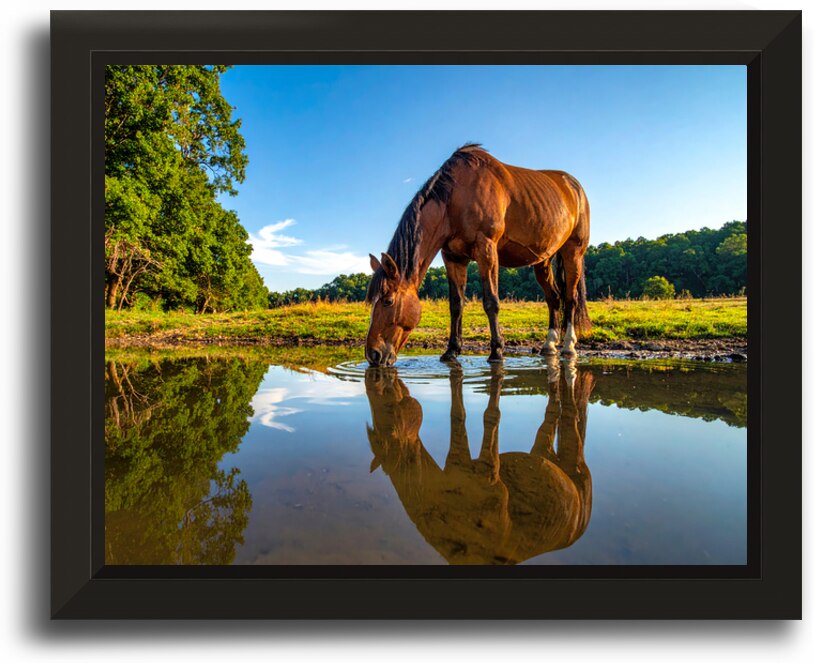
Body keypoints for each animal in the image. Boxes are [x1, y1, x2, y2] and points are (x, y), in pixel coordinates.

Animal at [365, 143, 591, 367]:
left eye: (388, 301)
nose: (373, 355)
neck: (455, 198)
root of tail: (574, 187)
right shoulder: (453, 258)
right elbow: (456, 305)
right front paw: (451, 351)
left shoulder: (486, 250)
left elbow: (491, 302)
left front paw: (497, 351)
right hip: (543, 260)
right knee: (553, 297)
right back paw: (549, 345)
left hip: (573, 253)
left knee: (570, 298)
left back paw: (568, 347)